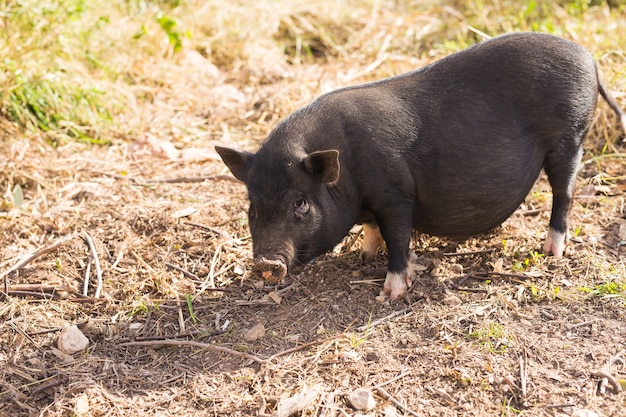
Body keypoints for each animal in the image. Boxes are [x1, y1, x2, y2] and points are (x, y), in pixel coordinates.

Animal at [213, 32, 620, 300]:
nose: (265, 262)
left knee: (564, 193)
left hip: (570, 137)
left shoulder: (395, 195)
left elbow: (397, 239)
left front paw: (391, 292)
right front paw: (365, 257)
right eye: (252, 207)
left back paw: (551, 251)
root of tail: (589, 58)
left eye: (300, 202)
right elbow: (373, 230)